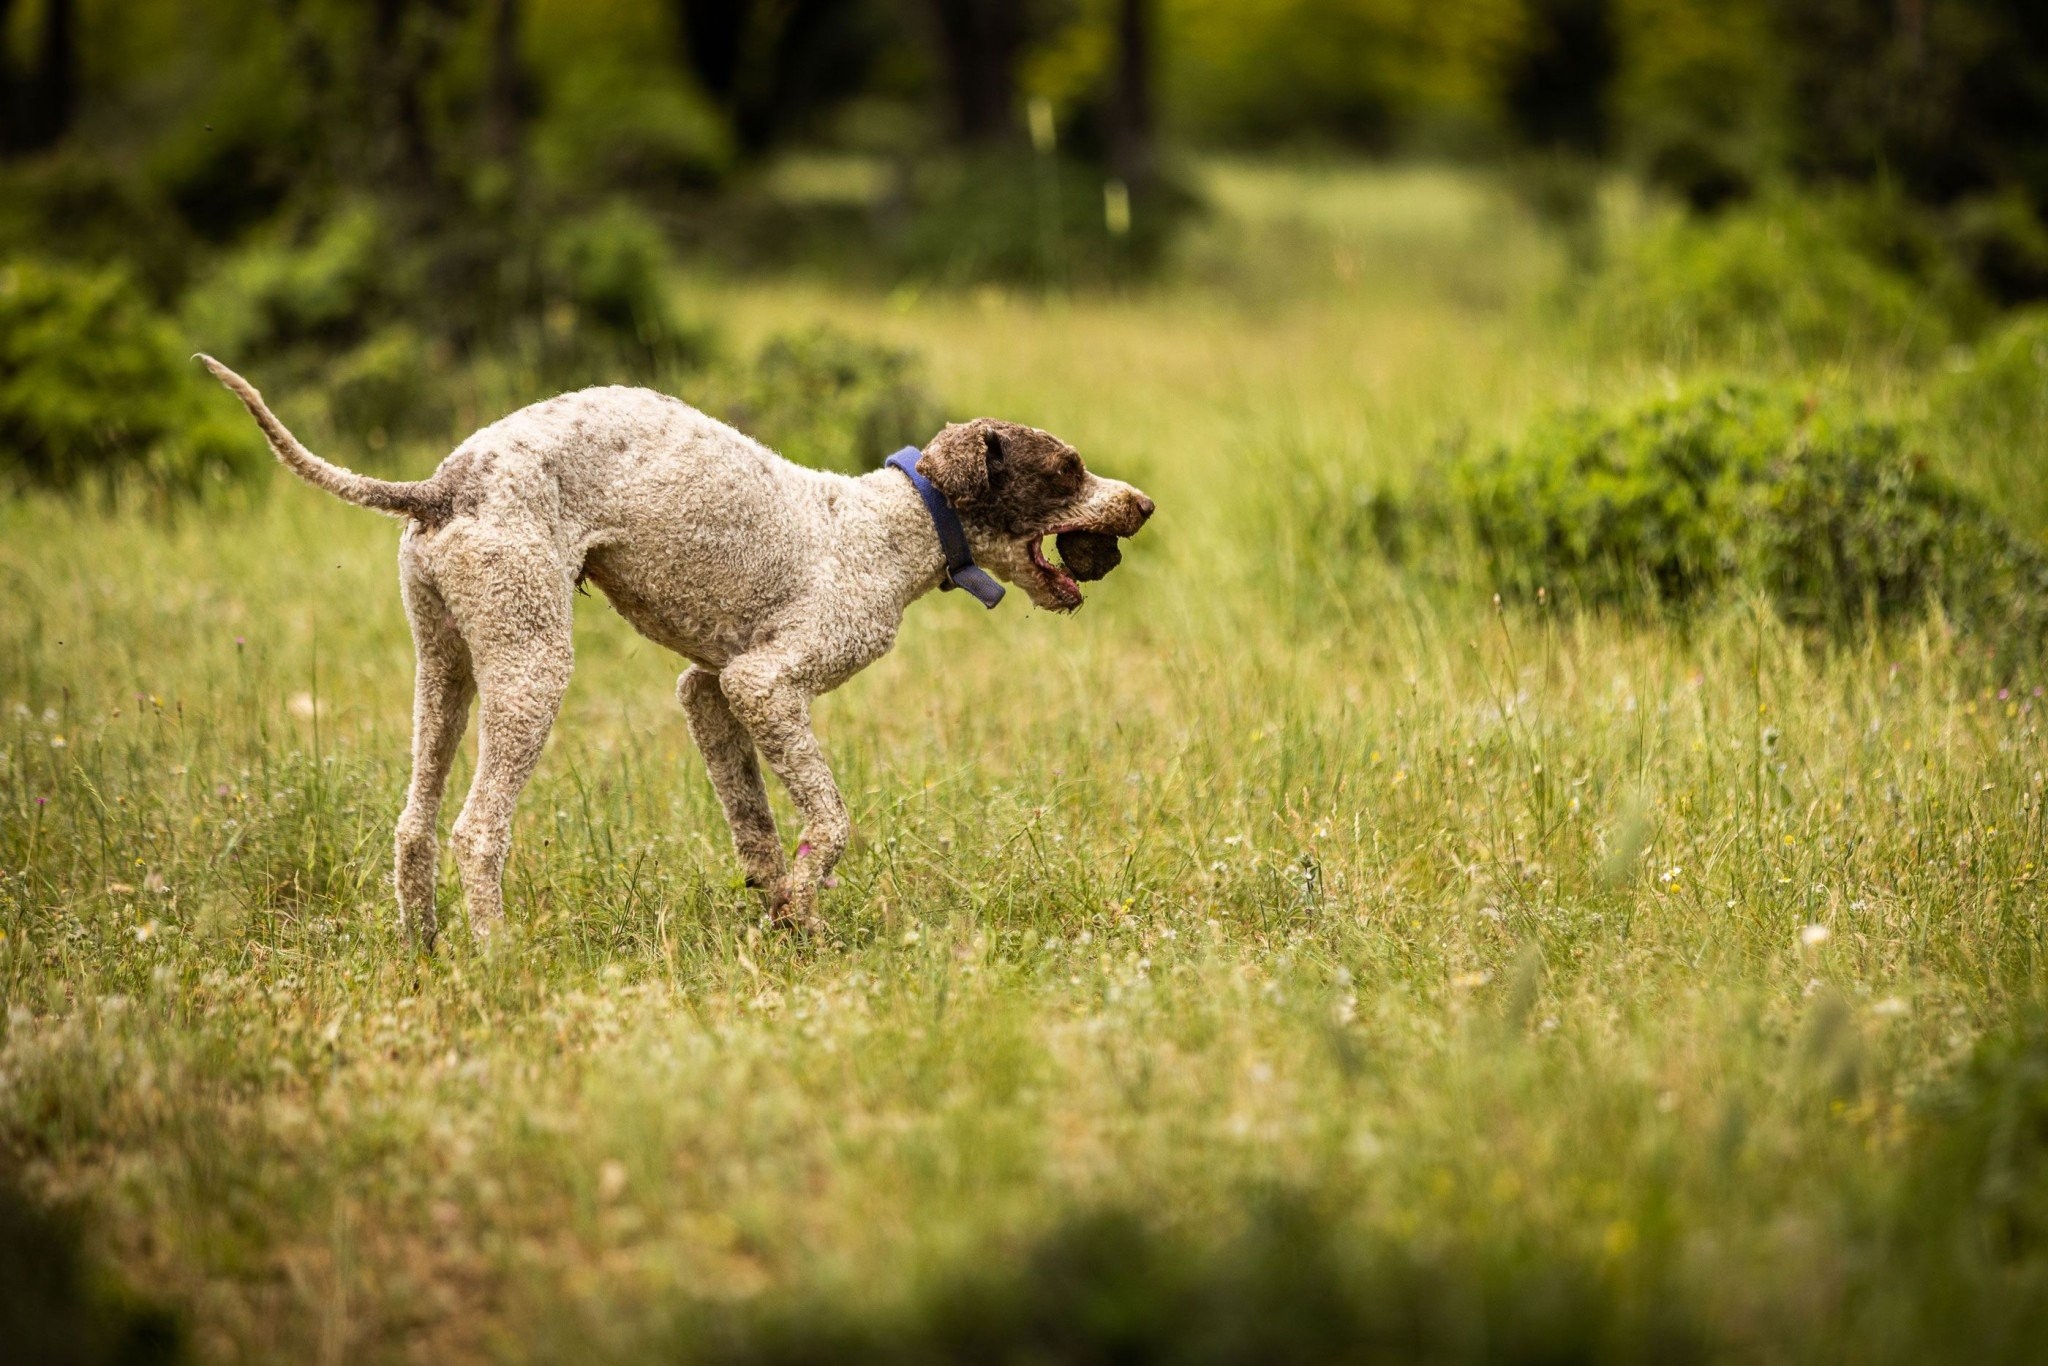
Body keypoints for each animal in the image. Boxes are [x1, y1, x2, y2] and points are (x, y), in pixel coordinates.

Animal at [201, 358, 1163, 946]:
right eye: (1068, 468)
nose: (1147, 504)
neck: (897, 523)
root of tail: (441, 485)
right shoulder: (767, 684)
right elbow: (831, 821)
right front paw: (806, 914)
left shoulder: (710, 691)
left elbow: (757, 827)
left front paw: (788, 922)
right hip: (531, 663)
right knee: (477, 830)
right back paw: (497, 955)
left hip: (446, 668)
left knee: (412, 826)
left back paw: (424, 952)